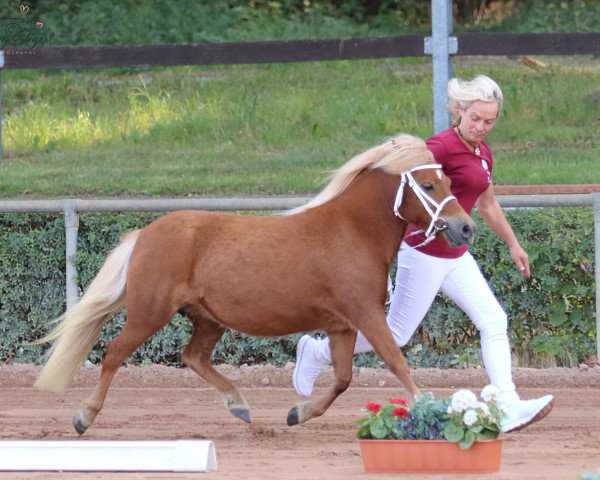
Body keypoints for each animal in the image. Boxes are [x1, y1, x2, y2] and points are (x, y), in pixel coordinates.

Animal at [36, 133, 474, 434]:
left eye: (449, 182)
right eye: (429, 185)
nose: (465, 227)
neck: (352, 231)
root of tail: (144, 234)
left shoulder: (343, 325)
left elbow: (344, 379)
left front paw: (298, 413)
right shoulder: (366, 314)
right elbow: (397, 362)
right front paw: (429, 411)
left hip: (207, 318)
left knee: (193, 357)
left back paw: (240, 406)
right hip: (149, 313)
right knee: (113, 354)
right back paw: (84, 416)